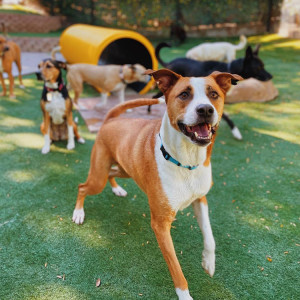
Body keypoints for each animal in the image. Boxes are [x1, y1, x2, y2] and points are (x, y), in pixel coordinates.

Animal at [73, 68, 244, 300]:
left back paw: (117, 189)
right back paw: (78, 213)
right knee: (83, 187)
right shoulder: (161, 224)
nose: (206, 109)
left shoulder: (200, 199)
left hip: (125, 169)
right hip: (97, 177)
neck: (185, 161)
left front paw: (209, 263)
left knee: (112, 174)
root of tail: (109, 119)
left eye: (214, 94)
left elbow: (210, 237)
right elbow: (176, 268)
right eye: (184, 94)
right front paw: (185, 295)